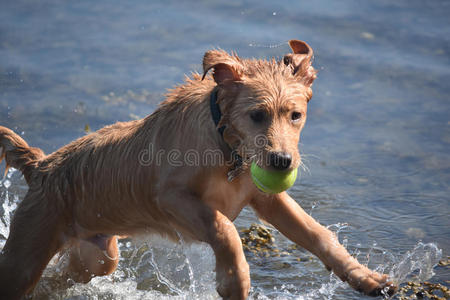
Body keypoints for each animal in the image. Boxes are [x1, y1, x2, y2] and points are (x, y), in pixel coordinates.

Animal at [0, 39, 394, 298]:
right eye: (257, 115)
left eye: (295, 115)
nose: (282, 162)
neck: (228, 150)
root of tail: (40, 165)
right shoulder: (172, 198)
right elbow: (224, 229)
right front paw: (234, 280)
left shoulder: (267, 198)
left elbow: (316, 234)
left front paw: (365, 277)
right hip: (26, 252)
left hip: (98, 256)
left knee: (60, 280)